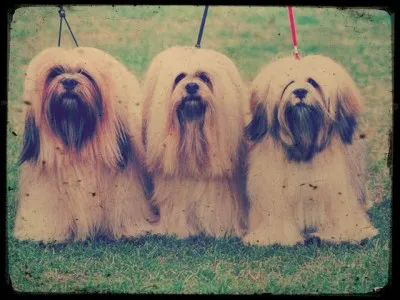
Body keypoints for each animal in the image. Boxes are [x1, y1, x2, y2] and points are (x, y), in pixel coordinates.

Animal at [244, 55, 378, 246]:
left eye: (312, 82)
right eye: (289, 83)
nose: (300, 91)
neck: (304, 142)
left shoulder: (335, 187)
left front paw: (342, 234)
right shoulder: (274, 190)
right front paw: (274, 236)